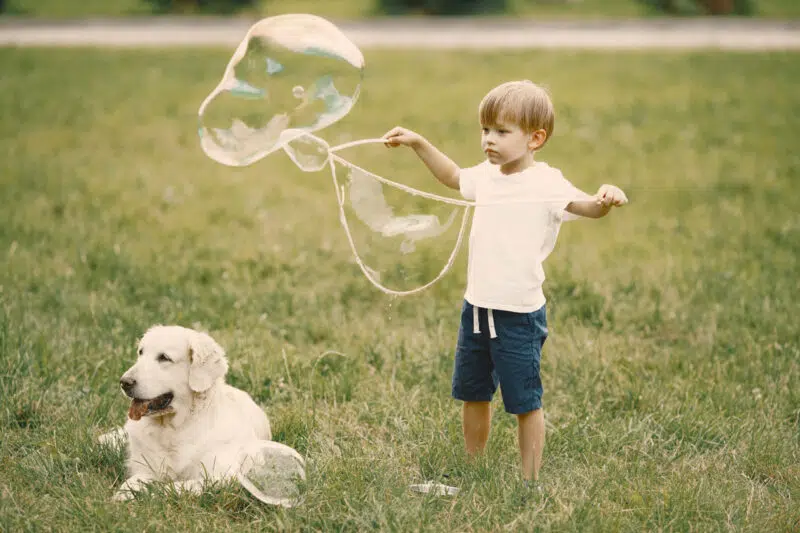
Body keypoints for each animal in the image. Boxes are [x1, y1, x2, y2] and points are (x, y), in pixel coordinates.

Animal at [109, 322, 274, 500]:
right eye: (141, 352)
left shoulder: (222, 477)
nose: (124, 382)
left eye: (164, 357)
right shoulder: (145, 467)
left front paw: (152, 493)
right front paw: (123, 495)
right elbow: (131, 482)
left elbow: (175, 487)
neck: (175, 428)